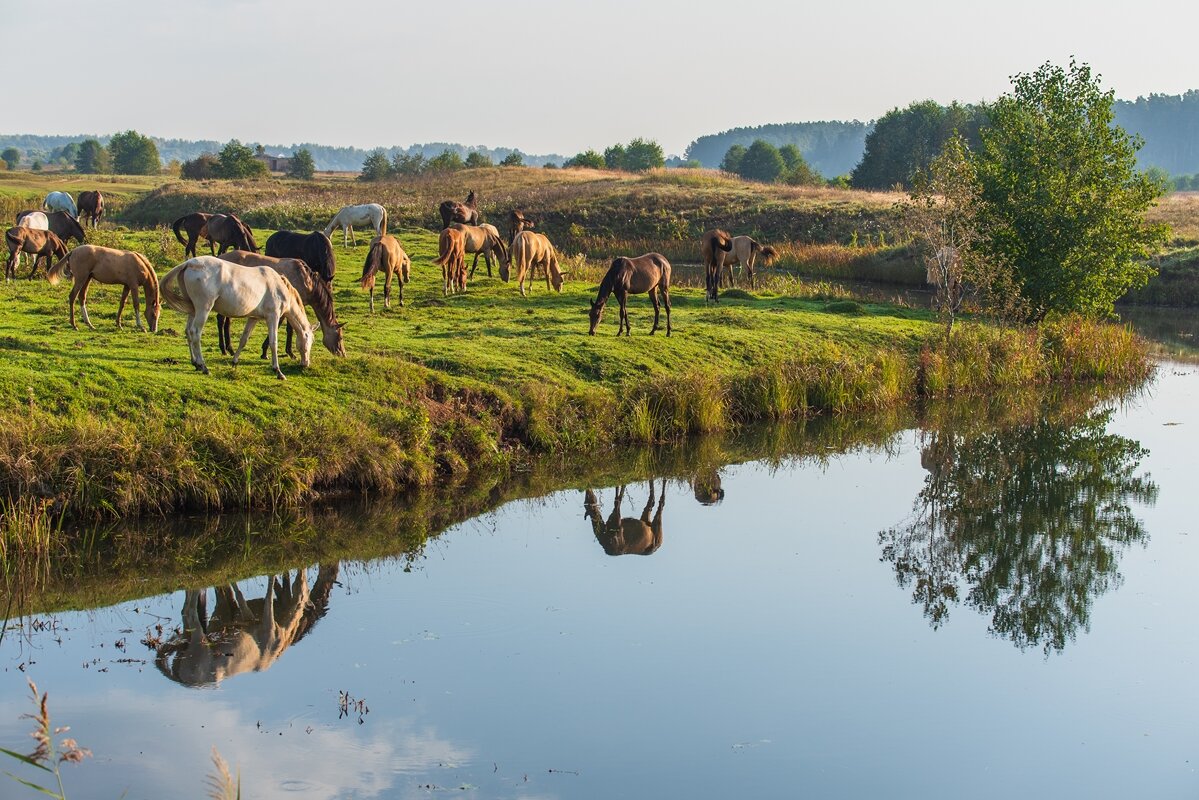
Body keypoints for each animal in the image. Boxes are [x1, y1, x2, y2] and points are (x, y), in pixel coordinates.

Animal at [154, 563, 340, 690]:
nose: (302, 572)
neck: (278, 642)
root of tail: (182, 679)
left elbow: (238, 594)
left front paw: (246, 614)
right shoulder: (268, 624)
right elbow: (269, 590)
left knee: (187, 610)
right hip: (198, 640)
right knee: (191, 609)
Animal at [160, 257, 314, 381]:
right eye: (310, 340)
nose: (305, 364)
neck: (278, 285)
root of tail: (189, 263)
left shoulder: (253, 318)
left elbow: (243, 339)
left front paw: (234, 362)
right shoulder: (273, 317)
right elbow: (273, 342)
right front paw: (278, 371)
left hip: (193, 310)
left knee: (188, 332)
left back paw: (195, 363)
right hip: (203, 309)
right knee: (195, 333)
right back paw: (203, 366)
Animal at [218, 251, 347, 357]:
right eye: (340, 337)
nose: (342, 354)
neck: (308, 282)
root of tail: (220, 257)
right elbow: (287, 328)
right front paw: (273, 352)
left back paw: (229, 349)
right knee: (221, 320)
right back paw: (224, 349)